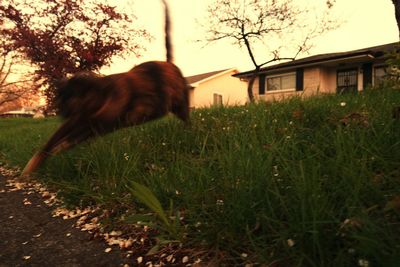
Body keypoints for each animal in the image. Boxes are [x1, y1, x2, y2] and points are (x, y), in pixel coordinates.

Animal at [21, 1, 190, 177]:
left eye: (68, 99)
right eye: (58, 100)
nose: (61, 112)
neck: (99, 97)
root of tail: (170, 64)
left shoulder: (96, 125)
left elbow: (64, 143)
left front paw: (52, 154)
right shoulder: (76, 123)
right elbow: (48, 144)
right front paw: (30, 168)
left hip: (179, 106)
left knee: (187, 121)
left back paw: (188, 133)